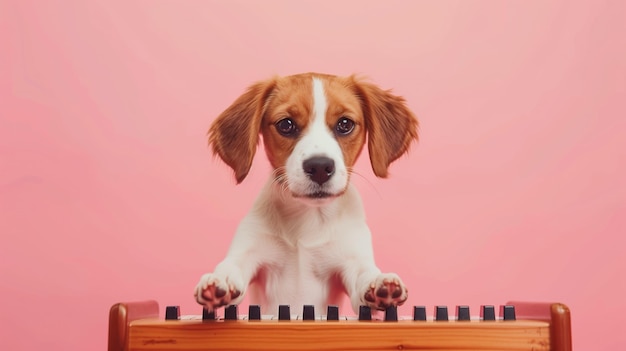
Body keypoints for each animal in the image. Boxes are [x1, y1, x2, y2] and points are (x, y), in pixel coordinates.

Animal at [194, 72, 420, 316]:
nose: (320, 167)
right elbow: (230, 265)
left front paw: (379, 282)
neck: (308, 219)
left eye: (345, 124)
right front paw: (219, 280)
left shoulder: (352, 261)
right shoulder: (249, 252)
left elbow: (365, 275)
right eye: (286, 124)